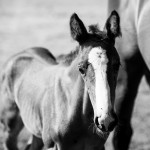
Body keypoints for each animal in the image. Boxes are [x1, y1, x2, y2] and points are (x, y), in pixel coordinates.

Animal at [0, 10, 120, 150]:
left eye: (117, 65)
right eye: (81, 68)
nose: (105, 120)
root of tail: (20, 53)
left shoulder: (98, 146)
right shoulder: (53, 145)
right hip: (9, 129)